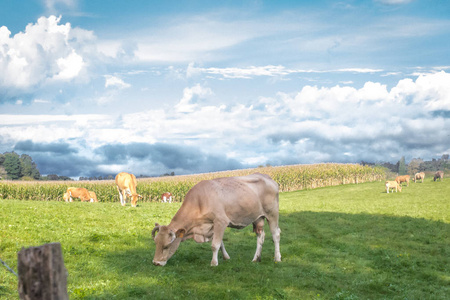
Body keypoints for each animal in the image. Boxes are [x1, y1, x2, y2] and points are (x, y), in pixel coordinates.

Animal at [153, 173, 284, 268]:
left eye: (166, 246)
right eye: (156, 243)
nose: (156, 263)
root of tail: (266, 176)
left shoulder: (221, 221)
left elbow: (215, 245)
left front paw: (214, 263)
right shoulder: (212, 226)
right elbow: (220, 243)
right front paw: (226, 257)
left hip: (272, 214)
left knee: (276, 234)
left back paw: (277, 258)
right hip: (257, 218)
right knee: (260, 236)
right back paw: (256, 258)